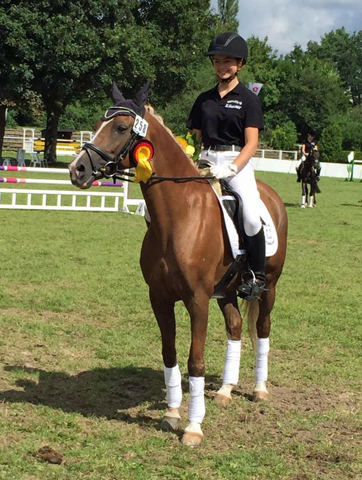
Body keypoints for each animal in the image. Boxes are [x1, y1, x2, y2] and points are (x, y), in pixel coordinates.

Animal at [68, 82, 288, 446]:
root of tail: (271, 195)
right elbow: (169, 354)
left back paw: (259, 389)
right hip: (226, 291)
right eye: (100, 122)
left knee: (263, 328)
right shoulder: (159, 297)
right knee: (235, 327)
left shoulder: (197, 300)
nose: (77, 170)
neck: (178, 215)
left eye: (121, 128)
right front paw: (172, 412)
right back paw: (225, 390)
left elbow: (195, 361)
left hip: (268, 286)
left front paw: (194, 427)